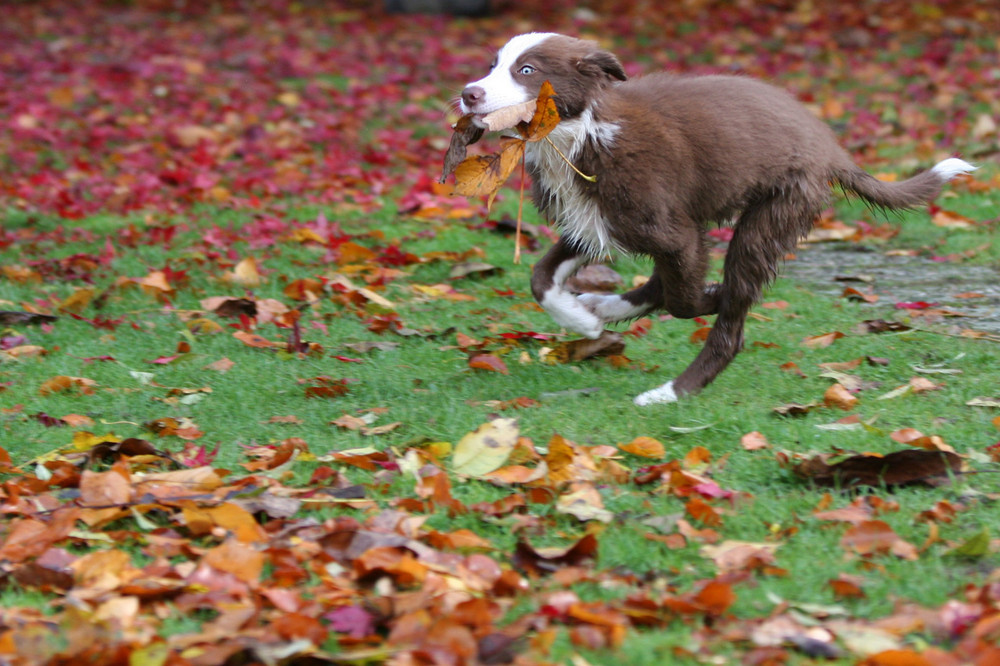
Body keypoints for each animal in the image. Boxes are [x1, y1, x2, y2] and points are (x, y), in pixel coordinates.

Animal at [460, 33, 976, 404]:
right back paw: (605, 307)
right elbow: (540, 278)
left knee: (728, 323)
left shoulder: (670, 230)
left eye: (527, 71)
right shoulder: (597, 219)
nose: (468, 94)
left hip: (769, 216)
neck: (581, 133)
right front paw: (581, 322)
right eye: (493, 64)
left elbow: (687, 301)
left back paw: (670, 389)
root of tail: (831, 149)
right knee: (672, 287)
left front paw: (704, 298)